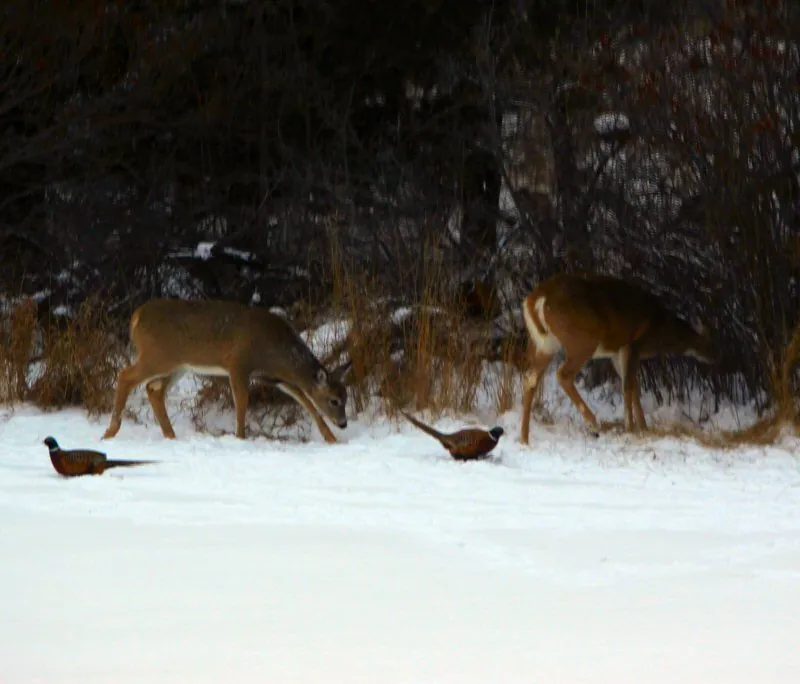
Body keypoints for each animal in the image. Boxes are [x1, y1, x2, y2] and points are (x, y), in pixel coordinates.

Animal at [101, 299, 353, 444]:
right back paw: (110, 432)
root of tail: (136, 316)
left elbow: (305, 400)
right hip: (158, 356)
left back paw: (171, 436)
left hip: (178, 365)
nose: (343, 424)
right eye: (334, 400)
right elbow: (241, 401)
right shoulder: (238, 363)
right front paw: (241, 437)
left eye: (345, 397)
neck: (273, 349)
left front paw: (332, 439)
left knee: (153, 390)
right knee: (126, 376)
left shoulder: (273, 376)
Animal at [520, 273, 717, 443]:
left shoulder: (617, 353)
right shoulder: (632, 344)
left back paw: (524, 438)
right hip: (583, 341)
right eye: (711, 343)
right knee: (563, 375)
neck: (661, 329)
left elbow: (634, 385)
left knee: (530, 378)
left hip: (545, 344)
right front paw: (630, 427)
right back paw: (595, 424)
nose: (716, 358)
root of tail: (538, 298)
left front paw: (643, 426)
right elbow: (628, 386)